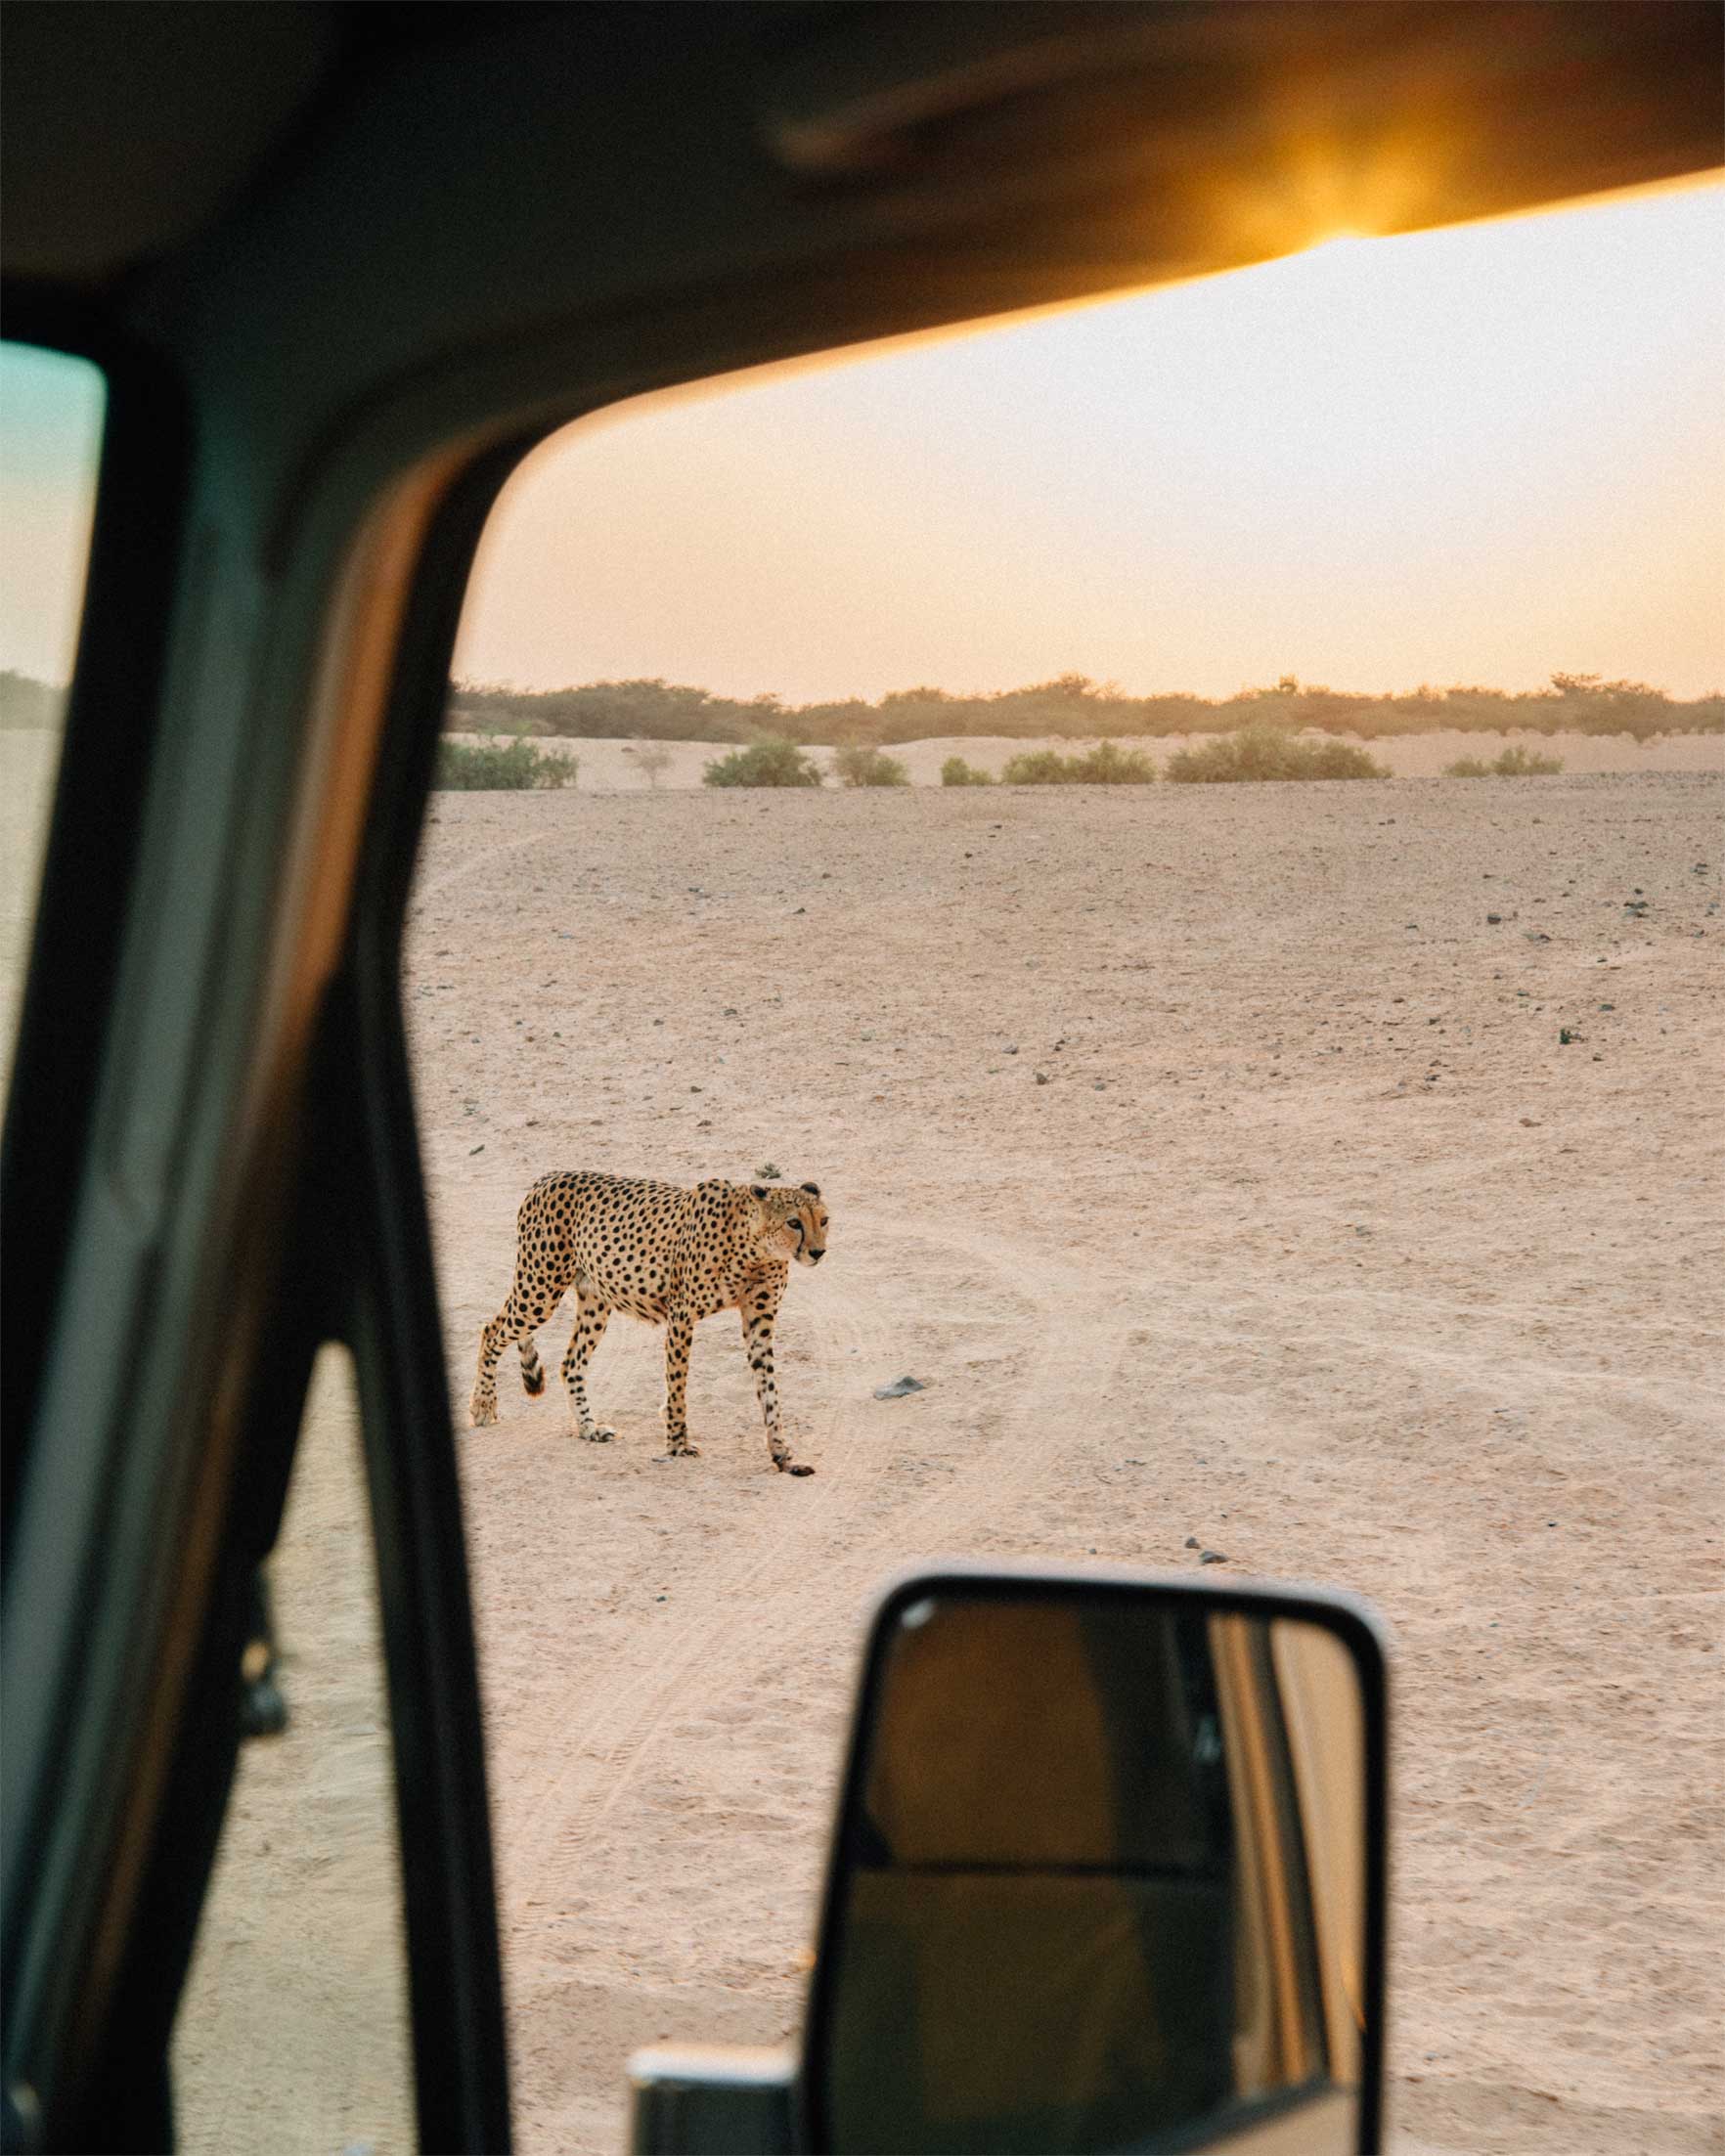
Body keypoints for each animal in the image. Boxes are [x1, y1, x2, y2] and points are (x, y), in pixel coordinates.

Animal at [465, 1172, 827, 1474]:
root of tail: (547, 1178)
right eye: (794, 1222)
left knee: (570, 1364)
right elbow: (678, 1384)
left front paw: (782, 1454)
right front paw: (677, 1443)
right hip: (539, 1291)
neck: (755, 1249)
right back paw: (482, 1406)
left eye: (824, 1220)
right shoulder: (681, 1315)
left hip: (594, 1301)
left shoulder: (759, 1322)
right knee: (491, 1331)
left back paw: (589, 1428)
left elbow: (769, 1390)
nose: (818, 1252)